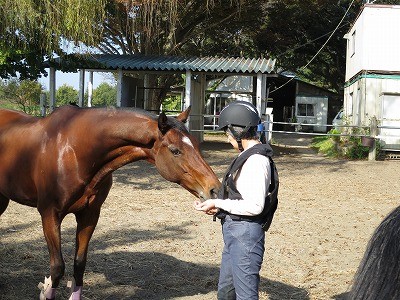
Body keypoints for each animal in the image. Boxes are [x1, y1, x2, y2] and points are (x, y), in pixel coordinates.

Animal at [0, 105, 220, 298]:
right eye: (175, 150)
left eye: (197, 145)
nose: (215, 189)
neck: (74, 151)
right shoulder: (49, 215)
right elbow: (57, 268)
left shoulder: (89, 215)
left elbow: (79, 265)